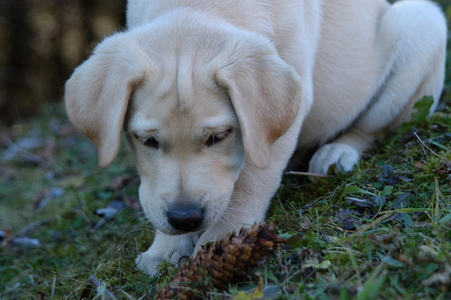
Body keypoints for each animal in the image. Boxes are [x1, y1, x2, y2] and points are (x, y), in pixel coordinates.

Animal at [64, 0, 448, 276]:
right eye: (147, 141)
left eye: (219, 136)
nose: (185, 218)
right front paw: (166, 248)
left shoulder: (283, 111)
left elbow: (251, 180)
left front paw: (216, 245)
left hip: (421, 24)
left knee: (371, 128)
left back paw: (337, 153)